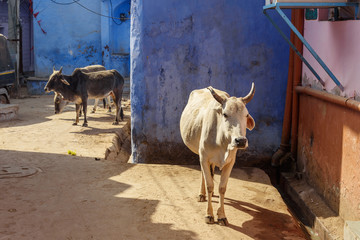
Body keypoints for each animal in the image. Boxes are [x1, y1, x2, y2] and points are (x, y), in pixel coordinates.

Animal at [180, 83, 256, 226]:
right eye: (225, 114)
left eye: (246, 115)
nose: (241, 141)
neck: (222, 141)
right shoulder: (204, 157)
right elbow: (209, 184)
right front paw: (209, 214)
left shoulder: (230, 162)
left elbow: (222, 188)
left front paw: (221, 216)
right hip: (201, 156)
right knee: (205, 176)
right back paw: (202, 194)